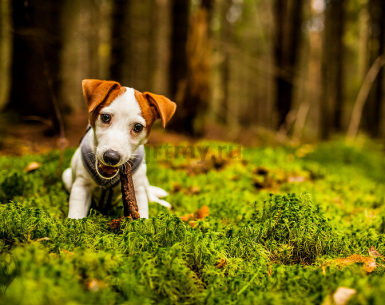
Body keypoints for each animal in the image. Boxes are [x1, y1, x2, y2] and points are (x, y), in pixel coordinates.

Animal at [62, 79, 176, 218]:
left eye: (138, 127)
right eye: (105, 117)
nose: (111, 157)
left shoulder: (137, 190)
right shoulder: (81, 186)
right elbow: (76, 213)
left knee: (149, 192)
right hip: (67, 176)